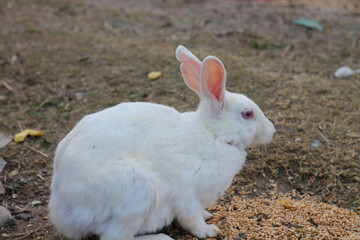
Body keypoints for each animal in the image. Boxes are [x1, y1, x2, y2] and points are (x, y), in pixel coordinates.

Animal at [47, 45, 272, 240]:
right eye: (247, 114)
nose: (271, 131)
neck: (214, 134)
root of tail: (62, 212)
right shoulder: (187, 196)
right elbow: (192, 221)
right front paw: (209, 231)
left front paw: (207, 215)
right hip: (136, 194)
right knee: (116, 237)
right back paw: (160, 237)